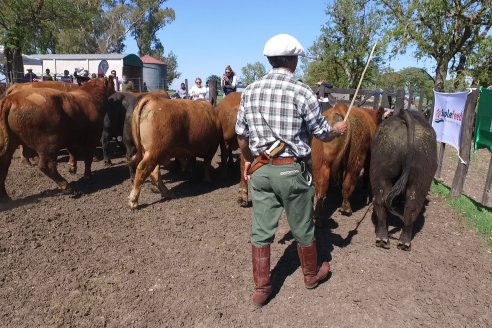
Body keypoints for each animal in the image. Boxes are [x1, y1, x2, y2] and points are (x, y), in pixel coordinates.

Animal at [370, 110, 436, 251]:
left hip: (382, 174)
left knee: (383, 202)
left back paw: (384, 239)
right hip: (419, 180)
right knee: (412, 207)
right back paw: (404, 242)